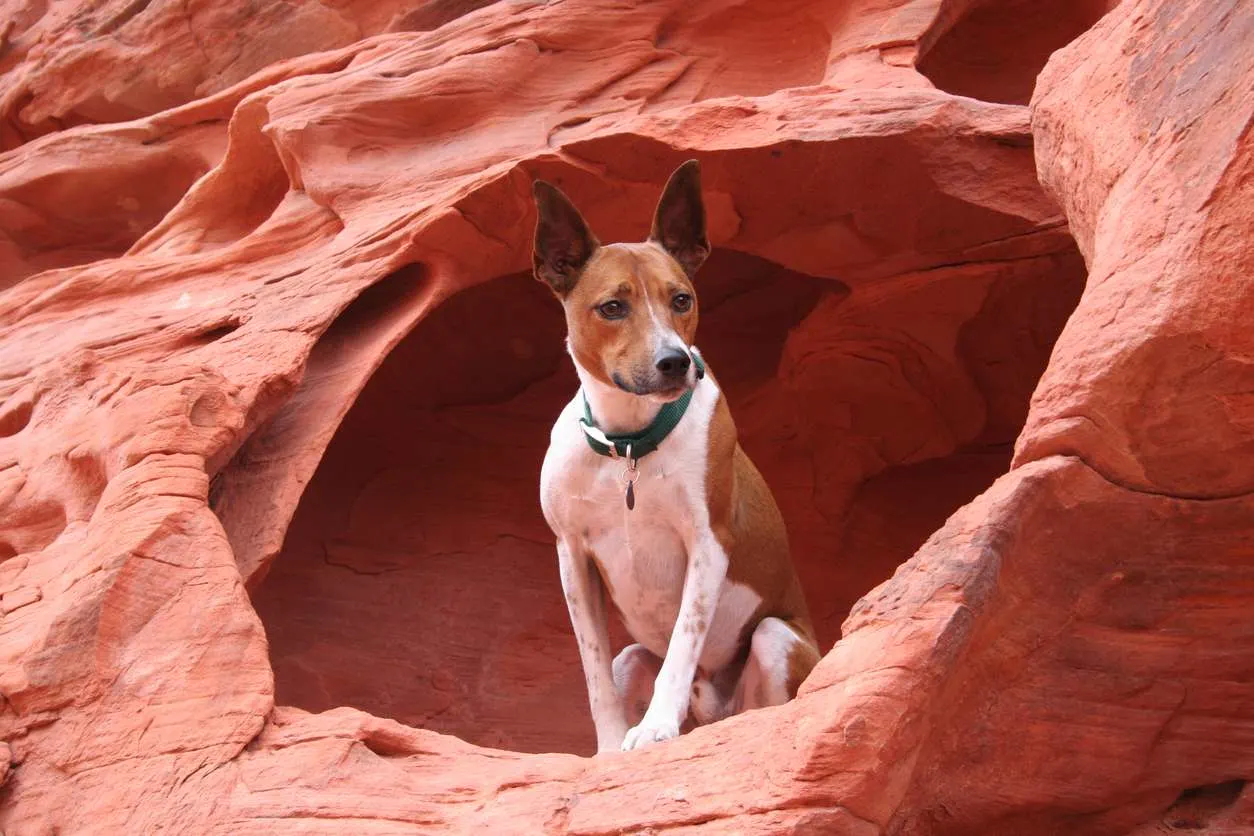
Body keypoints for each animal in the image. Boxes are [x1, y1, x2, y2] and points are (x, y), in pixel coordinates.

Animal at [531, 160, 817, 757]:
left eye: (681, 299)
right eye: (612, 307)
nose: (674, 361)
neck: (630, 446)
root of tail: (714, 710)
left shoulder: (708, 543)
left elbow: (684, 643)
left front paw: (656, 726)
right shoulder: (572, 558)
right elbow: (593, 673)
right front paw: (609, 747)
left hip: (775, 637)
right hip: (633, 656)